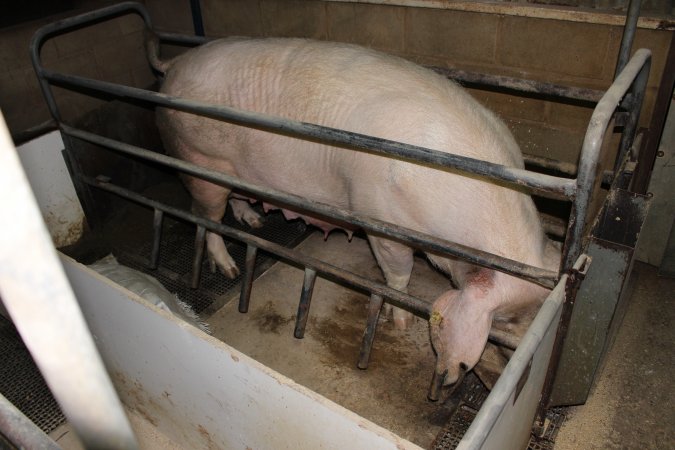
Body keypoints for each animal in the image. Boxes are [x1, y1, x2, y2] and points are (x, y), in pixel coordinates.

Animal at [148, 37, 560, 388]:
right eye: (502, 322)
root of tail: (175, 63)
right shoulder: (380, 219)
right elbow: (398, 274)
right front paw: (401, 322)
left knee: (235, 200)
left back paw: (255, 220)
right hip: (199, 159)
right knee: (205, 216)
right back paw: (230, 268)